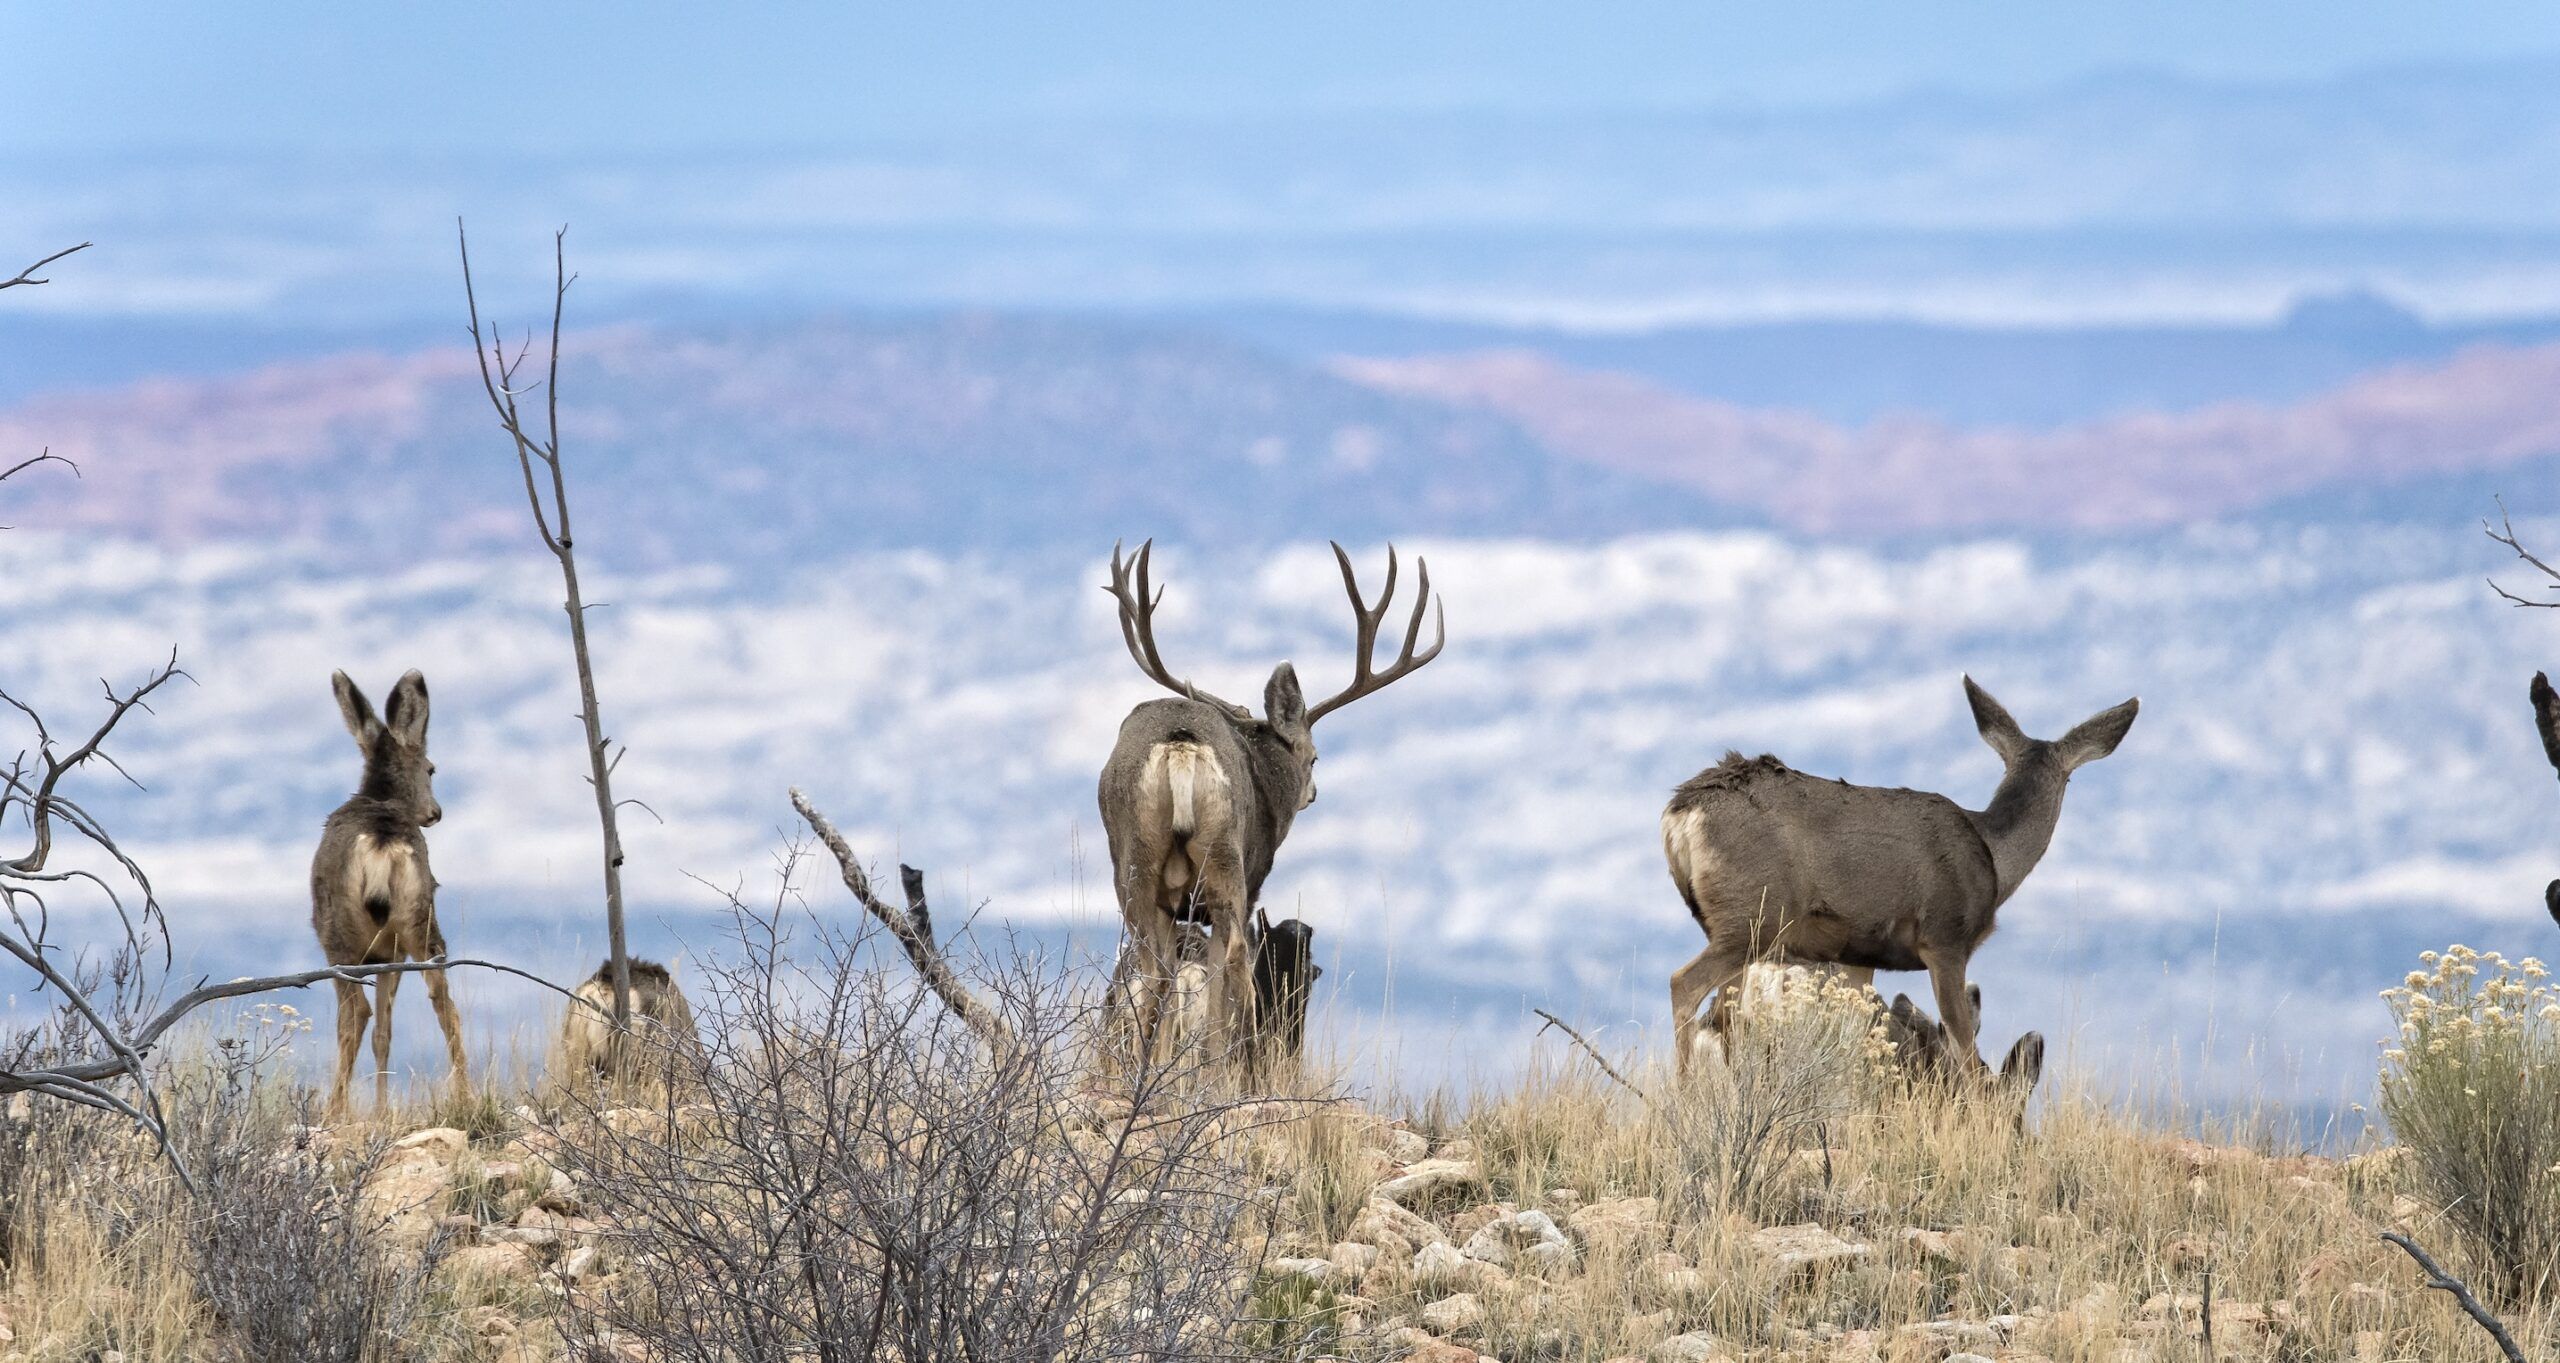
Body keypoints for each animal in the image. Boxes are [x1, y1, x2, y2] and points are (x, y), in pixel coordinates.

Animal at [311, 670, 467, 1117]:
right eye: (431, 769)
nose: (436, 812)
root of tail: (382, 843)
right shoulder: (388, 955)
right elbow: (386, 1032)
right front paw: (382, 1112)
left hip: (338, 937)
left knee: (353, 1015)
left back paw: (333, 1111)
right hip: (419, 922)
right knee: (444, 1004)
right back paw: (465, 1095)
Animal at [1097, 539, 1440, 1066]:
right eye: (1315, 757)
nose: (1313, 793)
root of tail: (1181, 745)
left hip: (1135, 863)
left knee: (1153, 968)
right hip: (1226, 862)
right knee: (1233, 959)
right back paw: (1217, 1069)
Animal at [1662, 675, 2136, 1081]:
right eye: (2070, 778)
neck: (1992, 855)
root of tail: (1681, 811)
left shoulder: (1856, 953)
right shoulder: (1946, 938)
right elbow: (1963, 1048)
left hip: (1738, 928)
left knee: (1723, 1014)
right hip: (1752, 916)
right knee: (1683, 983)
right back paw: (1684, 1092)